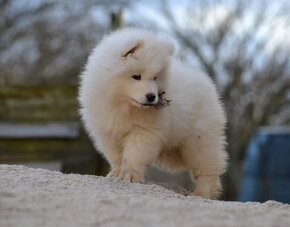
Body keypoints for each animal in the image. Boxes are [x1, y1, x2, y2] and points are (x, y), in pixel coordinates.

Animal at [78, 27, 228, 199]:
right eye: (136, 76)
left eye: (155, 77)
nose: (152, 97)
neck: (123, 104)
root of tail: (209, 84)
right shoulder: (107, 130)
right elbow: (115, 155)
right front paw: (116, 174)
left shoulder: (144, 131)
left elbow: (134, 154)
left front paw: (129, 175)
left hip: (200, 139)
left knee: (207, 167)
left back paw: (202, 193)